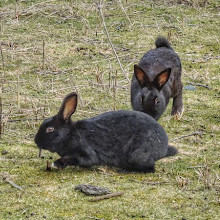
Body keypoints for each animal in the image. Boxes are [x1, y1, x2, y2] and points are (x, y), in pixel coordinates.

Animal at [35, 92, 178, 173]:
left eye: (50, 129)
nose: (36, 141)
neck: (70, 134)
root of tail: (164, 147)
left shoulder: (86, 151)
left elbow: (79, 159)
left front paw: (56, 164)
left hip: (138, 153)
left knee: (150, 169)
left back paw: (125, 171)